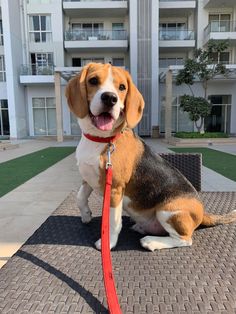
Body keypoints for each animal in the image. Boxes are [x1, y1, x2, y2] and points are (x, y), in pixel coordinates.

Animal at [65, 62, 236, 251]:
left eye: (122, 87)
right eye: (93, 80)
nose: (110, 98)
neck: (101, 139)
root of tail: (203, 212)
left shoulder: (115, 189)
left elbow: (112, 222)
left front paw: (107, 243)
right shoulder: (88, 177)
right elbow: (80, 197)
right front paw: (86, 215)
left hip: (168, 211)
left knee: (185, 240)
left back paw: (151, 241)